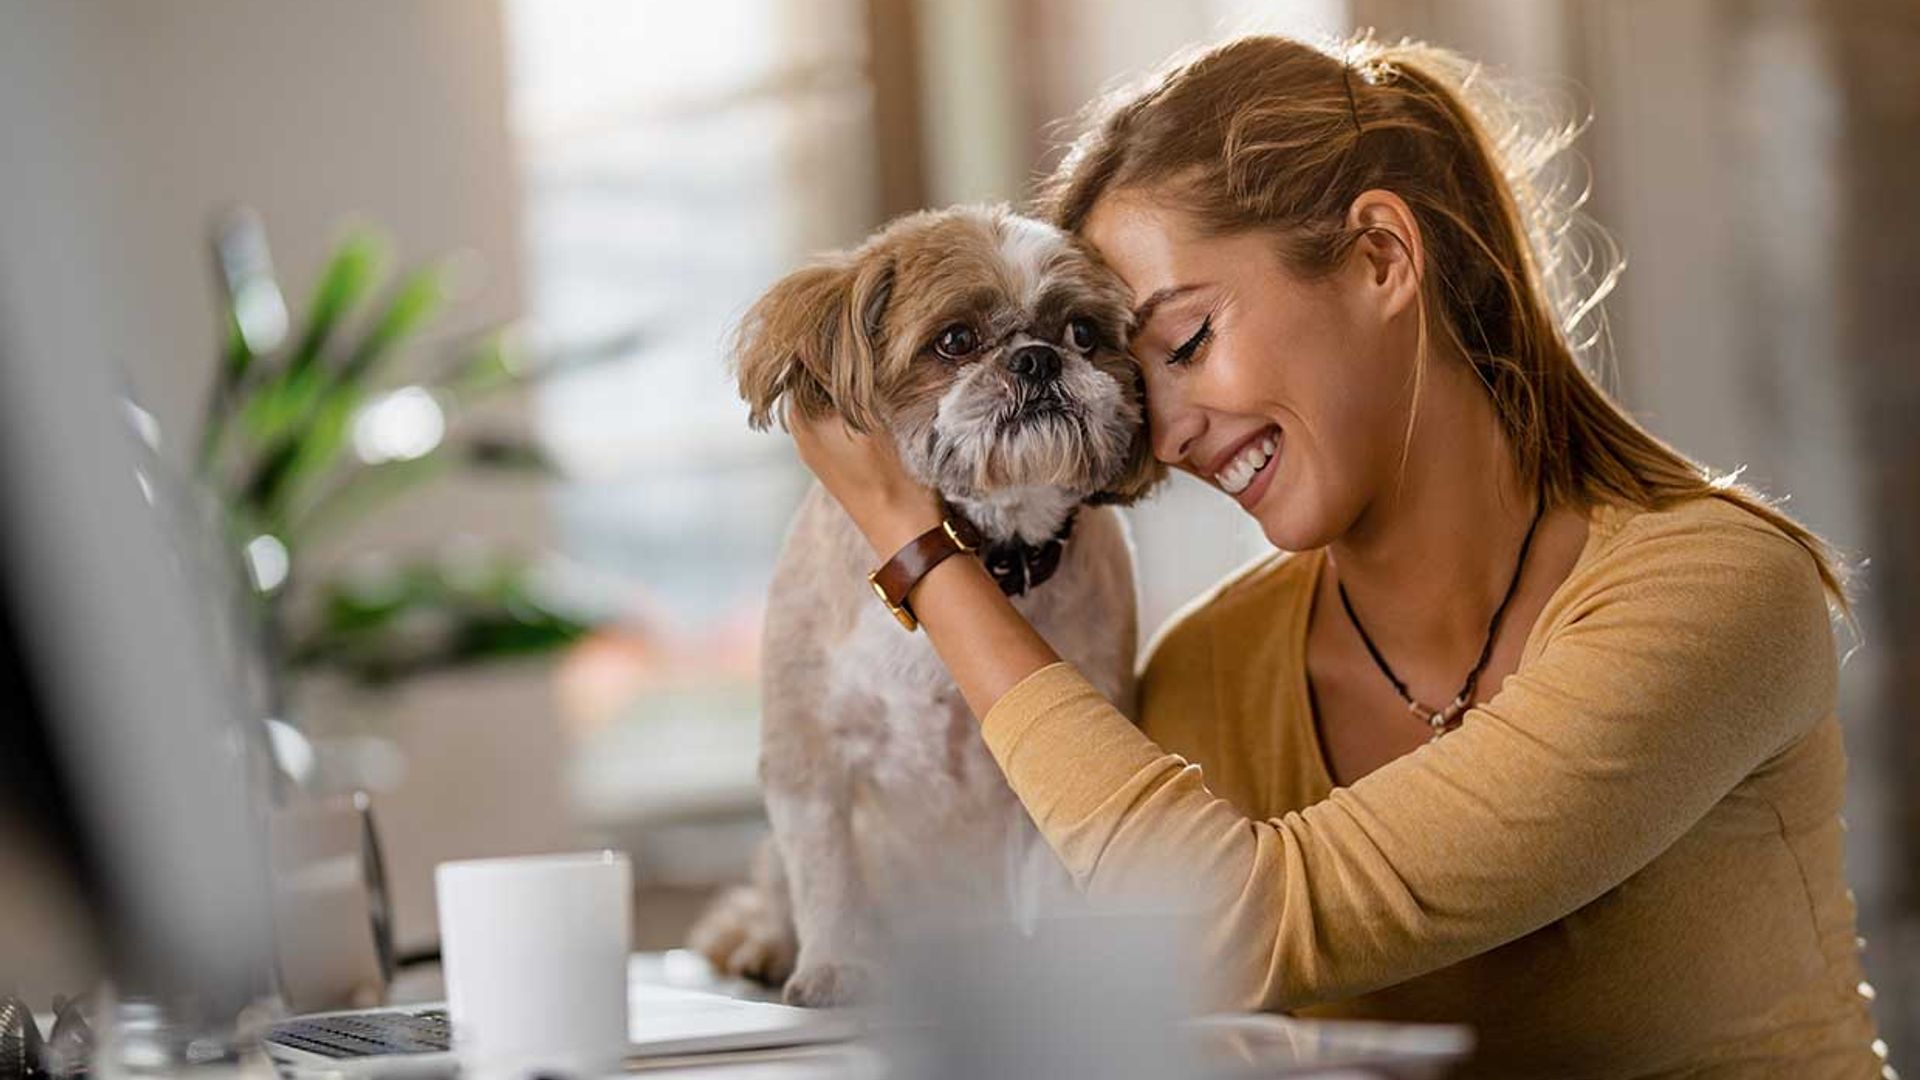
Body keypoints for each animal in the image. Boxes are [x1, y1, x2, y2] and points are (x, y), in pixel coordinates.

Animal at [695, 205, 1167, 1006]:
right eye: (955, 341)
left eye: (1083, 333)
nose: (1037, 359)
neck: (986, 554)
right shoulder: (807, 756)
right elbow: (827, 875)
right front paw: (835, 967)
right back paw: (765, 946)